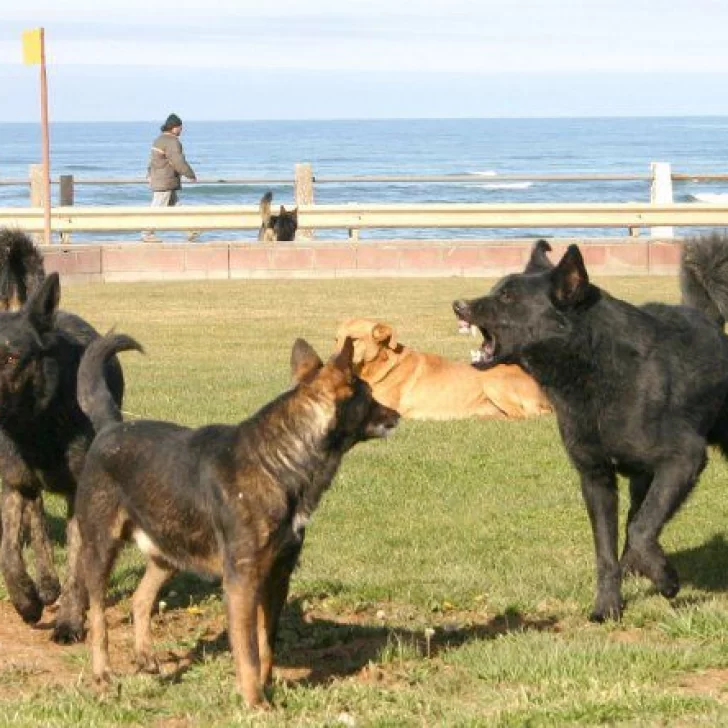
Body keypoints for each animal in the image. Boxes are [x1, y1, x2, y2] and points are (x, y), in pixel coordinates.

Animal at [0, 235, 125, 624]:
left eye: (12, 358)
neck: (35, 427)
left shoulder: (77, 493)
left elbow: (77, 564)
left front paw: (70, 618)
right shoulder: (14, 485)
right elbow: (8, 554)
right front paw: (26, 600)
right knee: (37, 525)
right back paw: (44, 584)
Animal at [452, 239, 728, 620]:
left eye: (508, 296)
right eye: (496, 288)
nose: (458, 305)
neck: (594, 367)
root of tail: (710, 322)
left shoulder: (684, 458)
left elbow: (642, 529)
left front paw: (667, 579)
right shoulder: (596, 478)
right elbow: (608, 550)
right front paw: (608, 606)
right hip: (641, 477)